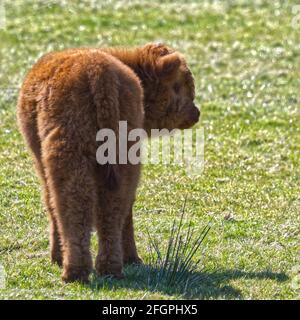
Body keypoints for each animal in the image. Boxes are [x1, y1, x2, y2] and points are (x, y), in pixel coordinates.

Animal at [17, 43, 199, 282]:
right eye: (180, 86)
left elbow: (50, 203)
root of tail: (99, 71)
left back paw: (73, 271)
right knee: (114, 208)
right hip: (123, 158)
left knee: (73, 206)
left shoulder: (41, 163)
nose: (196, 112)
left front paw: (55, 256)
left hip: (70, 156)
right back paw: (112, 268)